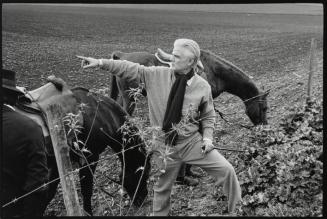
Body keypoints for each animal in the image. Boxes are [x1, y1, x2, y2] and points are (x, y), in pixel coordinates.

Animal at [16, 79, 152, 216]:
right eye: (144, 173)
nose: (142, 199)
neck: (101, 114)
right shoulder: (90, 158)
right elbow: (86, 191)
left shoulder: (58, 164)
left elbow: (49, 193)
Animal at [110, 49, 270, 125]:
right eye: (264, 108)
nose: (265, 126)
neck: (212, 70)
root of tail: (121, 55)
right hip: (130, 98)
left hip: (123, 96)